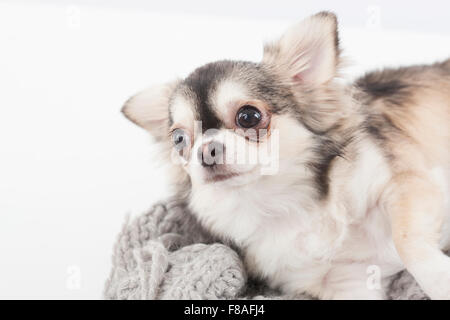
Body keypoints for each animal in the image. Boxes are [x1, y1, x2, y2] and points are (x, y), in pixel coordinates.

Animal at [120, 11, 450, 298]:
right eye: (178, 139)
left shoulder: (406, 182)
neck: (284, 202)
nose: (207, 150)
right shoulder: (348, 282)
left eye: (248, 116)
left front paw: (440, 283)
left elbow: (407, 242)